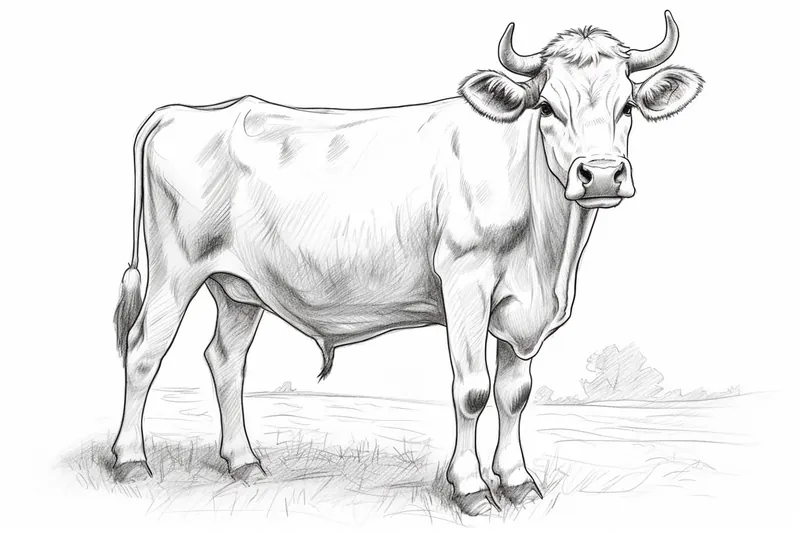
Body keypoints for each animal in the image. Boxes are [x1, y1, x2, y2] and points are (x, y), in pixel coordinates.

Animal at [111, 11, 703, 515]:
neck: (550, 258)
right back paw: (131, 462)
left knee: (226, 359)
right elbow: (473, 389)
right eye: (548, 108)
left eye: (627, 107)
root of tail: (182, 112)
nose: (600, 175)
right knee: (143, 351)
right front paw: (471, 489)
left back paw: (244, 463)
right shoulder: (466, 283)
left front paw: (518, 483)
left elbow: (515, 393)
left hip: (237, 286)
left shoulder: (522, 308)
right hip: (175, 270)